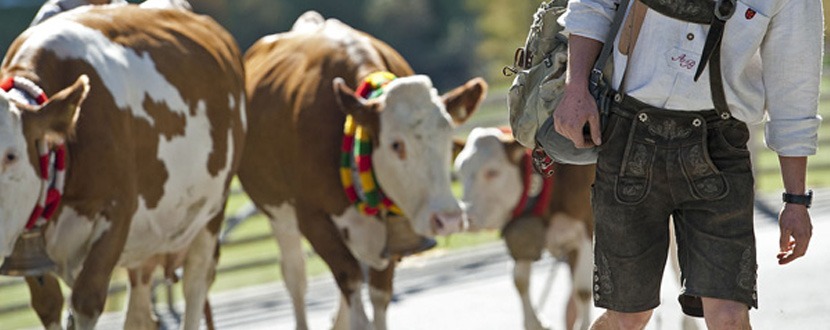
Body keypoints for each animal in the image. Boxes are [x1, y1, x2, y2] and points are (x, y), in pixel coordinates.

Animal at [0, 5, 245, 330]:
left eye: (11, 156)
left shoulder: (116, 213)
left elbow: (86, 300)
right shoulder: (26, 243)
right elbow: (48, 304)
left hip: (210, 214)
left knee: (195, 282)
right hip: (144, 244)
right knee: (140, 310)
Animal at [239, 11, 488, 330]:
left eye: (447, 137)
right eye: (396, 145)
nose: (449, 219)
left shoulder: (389, 235)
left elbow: (379, 295)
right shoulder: (313, 219)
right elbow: (350, 284)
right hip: (278, 215)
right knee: (296, 276)